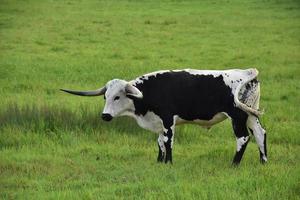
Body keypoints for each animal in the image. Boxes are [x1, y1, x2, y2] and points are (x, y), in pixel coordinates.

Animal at [61, 68, 268, 165]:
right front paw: (159, 162)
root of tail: (246, 72)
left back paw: (234, 164)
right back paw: (263, 161)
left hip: (238, 116)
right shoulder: (158, 123)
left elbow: (168, 142)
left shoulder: (168, 120)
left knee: (243, 138)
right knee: (260, 133)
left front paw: (168, 162)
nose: (105, 116)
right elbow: (159, 142)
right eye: (105, 96)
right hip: (251, 114)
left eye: (117, 97)